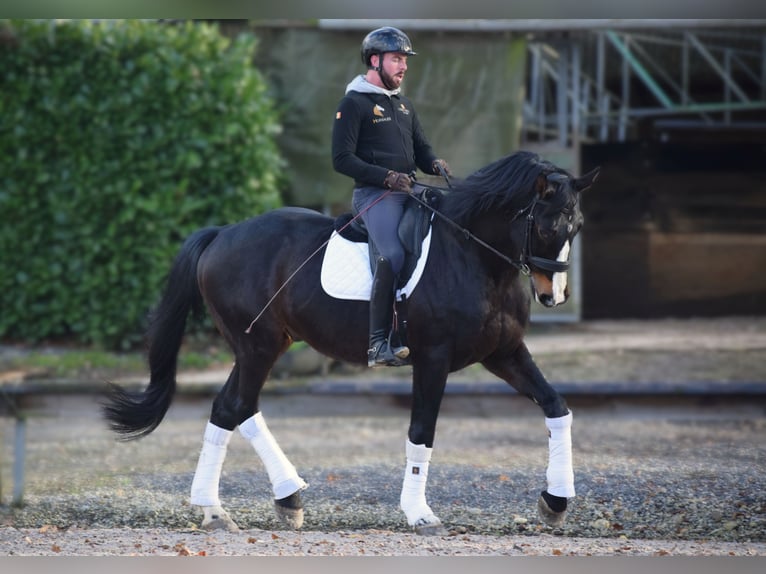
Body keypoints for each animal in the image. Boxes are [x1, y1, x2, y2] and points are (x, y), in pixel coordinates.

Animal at [102, 151, 600, 536]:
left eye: (577, 226)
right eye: (548, 226)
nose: (554, 296)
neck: (474, 255)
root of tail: (222, 234)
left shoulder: (504, 353)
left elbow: (557, 407)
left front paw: (555, 502)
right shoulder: (433, 359)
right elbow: (422, 431)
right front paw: (420, 514)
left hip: (261, 345)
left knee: (230, 408)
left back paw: (251, 505)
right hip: (258, 346)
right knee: (238, 407)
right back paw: (245, 504)